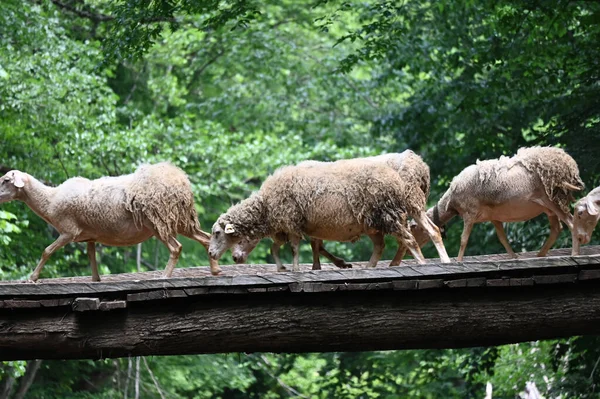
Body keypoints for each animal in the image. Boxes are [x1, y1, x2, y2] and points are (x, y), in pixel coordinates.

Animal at [0, 162, 219, 282]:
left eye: (6, 180)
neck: (50, 199)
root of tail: (180, 180)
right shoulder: (88, 235)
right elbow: (91, 256)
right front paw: (96, 279)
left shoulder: (68, 232)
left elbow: (47, 251)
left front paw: (32, 278)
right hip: (180, 220)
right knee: (206, 238)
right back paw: (215, 270)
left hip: (157, 222)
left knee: (176, 247)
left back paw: (165, 277)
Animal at [230, 152, 450, 270]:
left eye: (243, 237)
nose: (235, 258)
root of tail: (420, 164)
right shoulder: (315, 224)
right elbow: (317, 246)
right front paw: (332, 265)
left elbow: (316, 246)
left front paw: (331, 265)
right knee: (407, 237)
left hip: (406, 203)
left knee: (426, 231)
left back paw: (439, 261)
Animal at [400, 147, 584, 262]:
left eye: (415, 229)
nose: (407, 252)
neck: (449, 203)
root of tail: (568, 165)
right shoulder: (494, 217)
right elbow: (502, 238)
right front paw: (513, 257)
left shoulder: (469, 213)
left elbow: (463, 239)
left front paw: (458, 261)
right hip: (548, 205)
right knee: (557, 228)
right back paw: (540, 255)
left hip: (551, 200)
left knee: (570, 222)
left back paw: (574, 253)